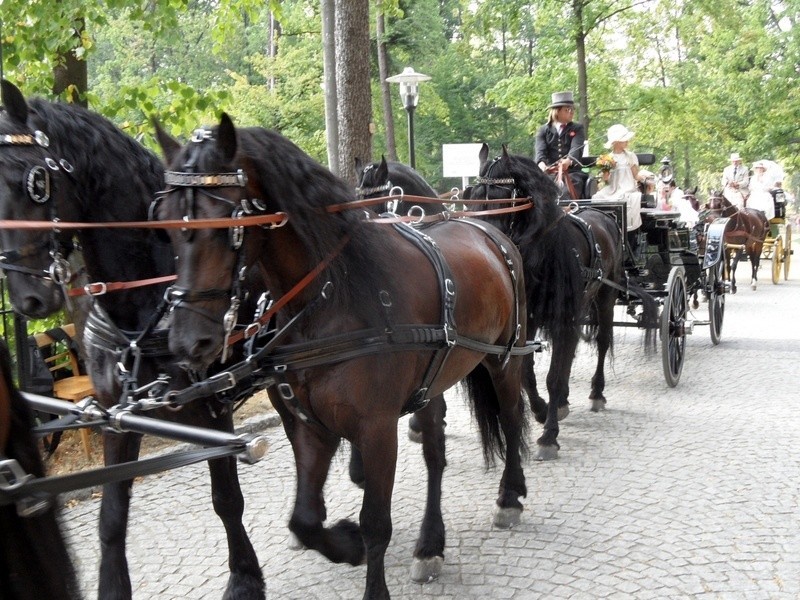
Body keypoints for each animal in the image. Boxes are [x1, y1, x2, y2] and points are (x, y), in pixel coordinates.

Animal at [154, 113, 536, 600]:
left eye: (227, 223)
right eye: (164, 221)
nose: (187, 341)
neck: (332, 298)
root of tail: (488, 232)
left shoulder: (376, 429)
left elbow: (376, 523)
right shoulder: (308, 425)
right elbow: (304, 518)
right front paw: (345, 542)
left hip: (504, 359)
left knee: (510, 417)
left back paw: (510, 495)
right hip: (432, 382)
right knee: (435, 453)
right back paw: (431, 543)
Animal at [462, 145, 656, 460]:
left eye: (503, 196)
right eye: (472, 195)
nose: (482, 242)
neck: (543, 253)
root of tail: (602, 215)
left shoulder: (562, 319)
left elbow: (553, 376)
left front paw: (549, 436)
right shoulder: (528, 321)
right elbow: (527, 372)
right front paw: (542, 410)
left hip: (605, 297)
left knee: (602, 341)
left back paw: (596, 393)